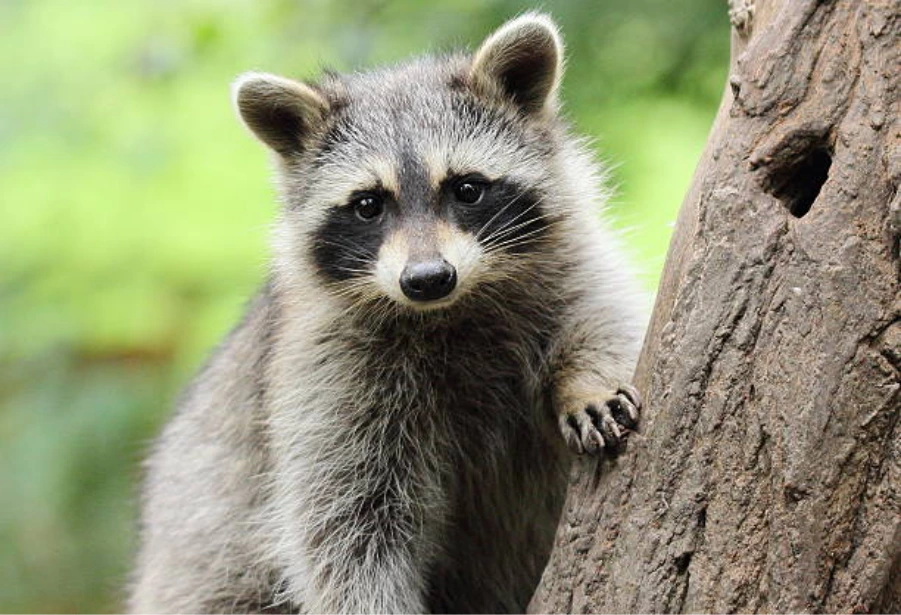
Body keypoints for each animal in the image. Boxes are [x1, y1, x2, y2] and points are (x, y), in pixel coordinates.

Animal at [128, 13, 647, 615]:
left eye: (467, 189)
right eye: (368, 205)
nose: (427, 278)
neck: (451, 309)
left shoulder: (570, 264)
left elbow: (606, 316)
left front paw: (587, 381)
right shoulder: (328, 374)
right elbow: (348, 525)